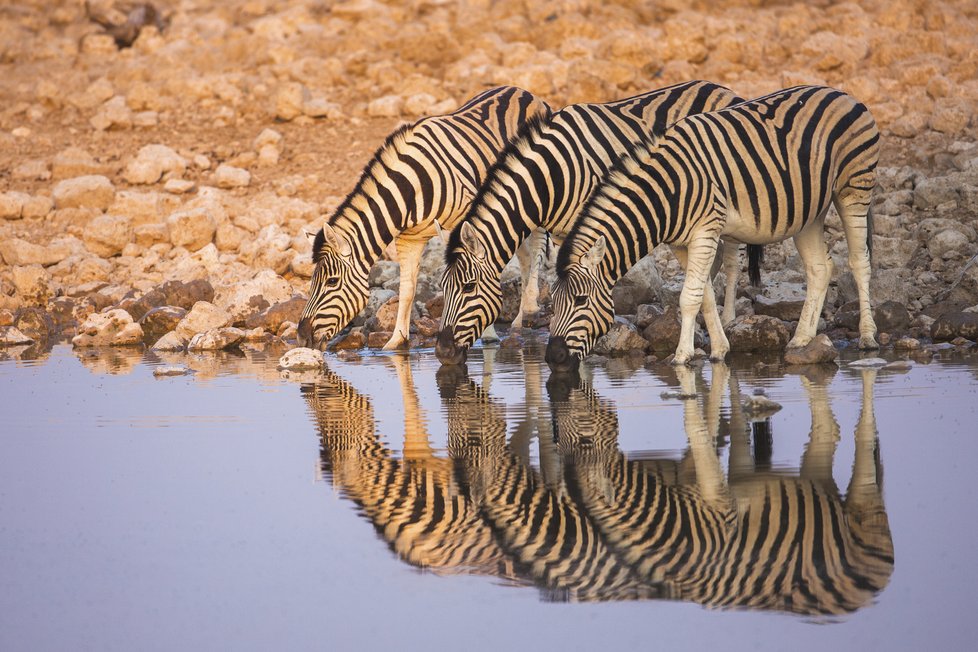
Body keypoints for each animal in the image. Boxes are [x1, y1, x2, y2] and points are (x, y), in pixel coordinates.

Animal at [296, 87, 548, 354]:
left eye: (332, 282)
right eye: (311, 282)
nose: (302, 338)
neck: (410, 188)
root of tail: (524, 91)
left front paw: (488, 335)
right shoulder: (408, 239)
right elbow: (407, 289)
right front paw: (395, 341)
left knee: (537, 246)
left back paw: (530, 307)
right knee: (524, 254)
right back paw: (520, 318)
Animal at [434, 80, 756, 366]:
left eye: (468, 287)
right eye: (443, 288)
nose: (442, 352)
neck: (552, 175)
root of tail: (723, 88)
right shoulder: (565, 233)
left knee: (730, 257)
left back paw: (727, 318)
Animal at [544, 85, 880, 372]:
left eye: (580, 300)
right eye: (552, 302)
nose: (552, 358)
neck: (666, 192)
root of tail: (841, 92)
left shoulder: (705, 231)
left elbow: (689, 296)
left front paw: (682, 356)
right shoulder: (680, 243)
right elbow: (703, 294)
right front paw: (719, 349)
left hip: (854, 188)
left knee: (859, 262)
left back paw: (867, 338)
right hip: (810, 211)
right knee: (820, 268)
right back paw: (802, 338)